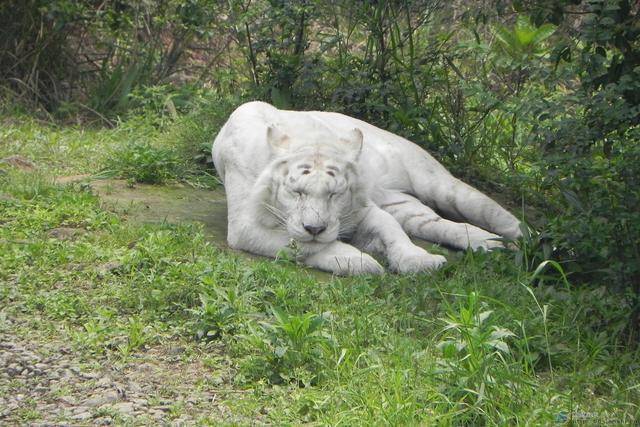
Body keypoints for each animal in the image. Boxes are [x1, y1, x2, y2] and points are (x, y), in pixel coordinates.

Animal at [212, 103, 524, 276]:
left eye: (334, 194)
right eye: (297, 192)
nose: (316, 228)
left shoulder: (361, 210)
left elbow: (390, 229)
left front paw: (417, 260)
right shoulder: (246, 226)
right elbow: (304, 245)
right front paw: (361, 261)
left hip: (438, 183)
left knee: (495, 213)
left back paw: (520, 242)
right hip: (406, 205)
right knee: (438, 224)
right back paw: (491, 243)